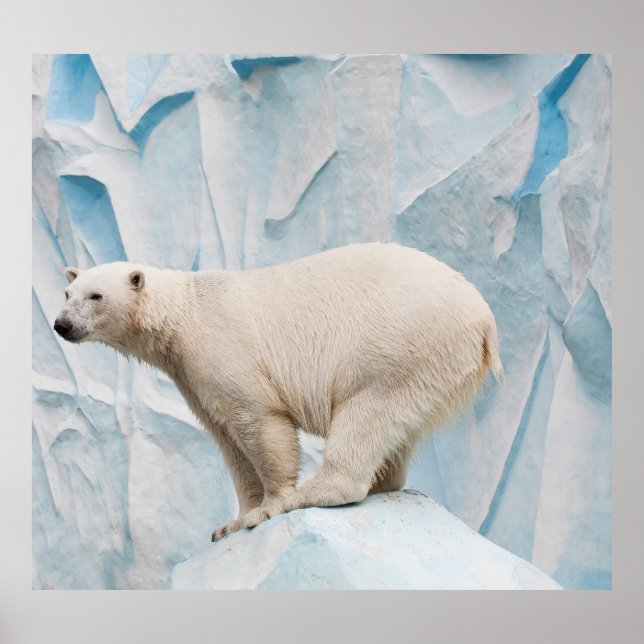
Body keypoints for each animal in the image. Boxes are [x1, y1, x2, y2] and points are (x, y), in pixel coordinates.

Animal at [53, 242, 503, 541]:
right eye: (68, 293)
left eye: (96, 296)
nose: (61, 325)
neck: (184, 314)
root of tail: (483, 317)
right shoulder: (191, 377)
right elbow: (227, 439)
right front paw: (231, 522)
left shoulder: (223, 348)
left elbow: (259, 422)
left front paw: (269, 507)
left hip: (400, 342)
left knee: (368, 412)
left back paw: (316, 492)